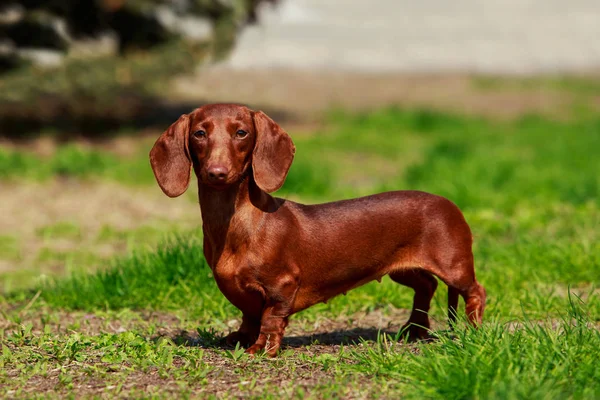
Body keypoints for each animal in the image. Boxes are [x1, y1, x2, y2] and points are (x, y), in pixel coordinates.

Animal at [151, 103, 488, 356]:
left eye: (241, 132)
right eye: (199, 133)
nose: (217, 173)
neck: (236, 224)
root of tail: (450, 204)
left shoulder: (282, 286)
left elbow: (270, 319)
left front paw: (261, 349)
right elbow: (249, 316)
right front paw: (239, 339)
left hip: (454, 266)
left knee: (475, 291)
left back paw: (472, 332)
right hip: (401, 270)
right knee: (426, 287)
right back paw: (413, 330)